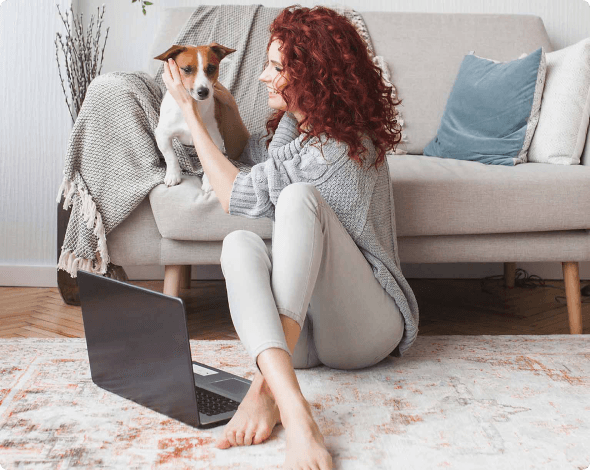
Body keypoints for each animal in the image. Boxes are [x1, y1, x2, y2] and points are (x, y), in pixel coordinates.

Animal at [154, 42, 237, 192]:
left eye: (211, 68)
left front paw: (209, 182)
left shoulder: (214, 140)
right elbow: (171, 157)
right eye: (187, 69)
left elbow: (210, 163)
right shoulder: (162, 135)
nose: (203, 91)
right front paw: (173, 175)